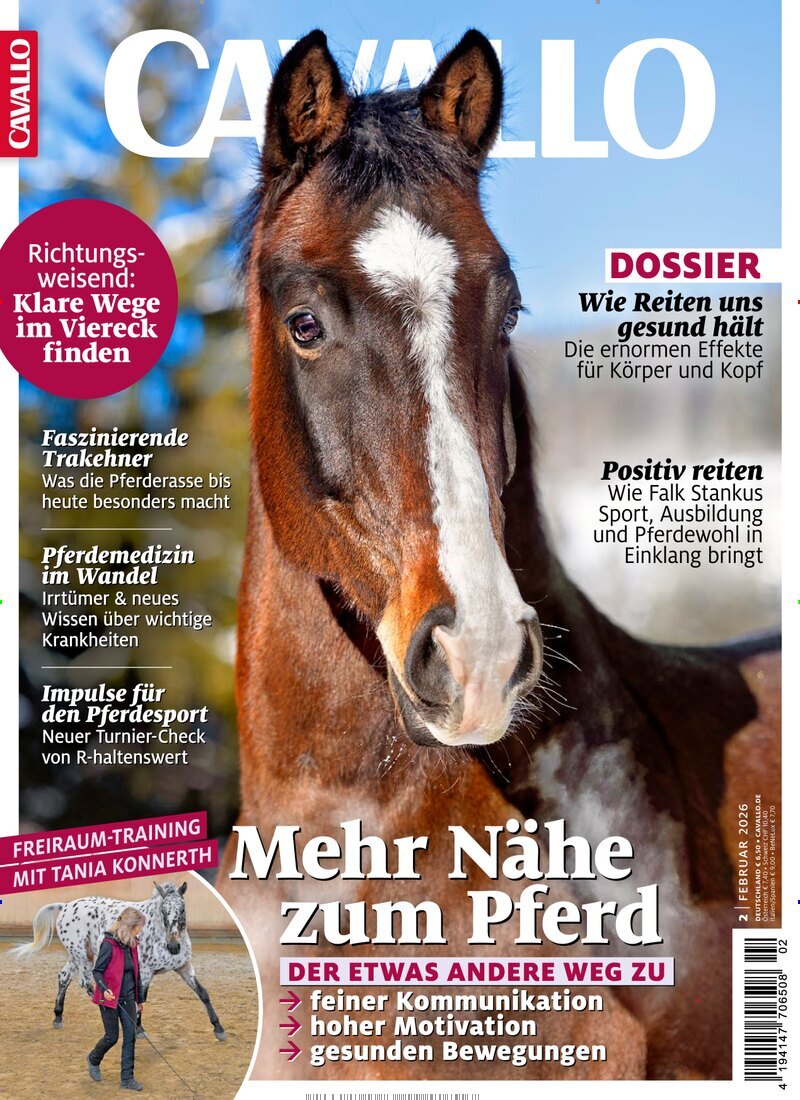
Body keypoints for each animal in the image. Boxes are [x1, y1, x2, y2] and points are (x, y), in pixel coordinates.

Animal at [11, 881, 227, 1041]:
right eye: (164, 911)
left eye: (182, 909)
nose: (174, 947)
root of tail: (65, 907)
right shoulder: (145, 971)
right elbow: (141, 998)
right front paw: (139, 1030)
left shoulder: (184, 967)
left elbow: (203, 993)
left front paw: (219, 1029)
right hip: (82, 956)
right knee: (87, 983)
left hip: (78, 955)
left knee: (64, 978)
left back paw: (58, 1016)